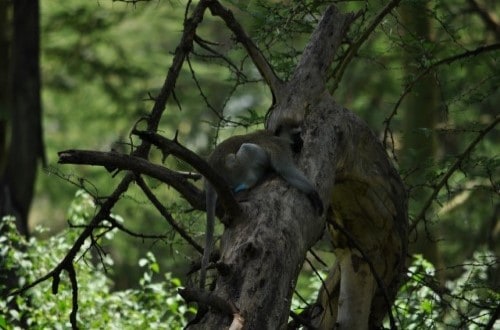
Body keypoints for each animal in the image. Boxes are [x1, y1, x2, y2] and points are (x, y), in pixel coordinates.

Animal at [199, 130, 324, 290]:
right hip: (233, 169)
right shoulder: (280, 146)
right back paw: (249, 181)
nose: (301, 141)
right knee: (248, 148)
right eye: (297, 135)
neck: (276, 135)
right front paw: (312, 193)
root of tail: (210, 179)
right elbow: (285, 169)